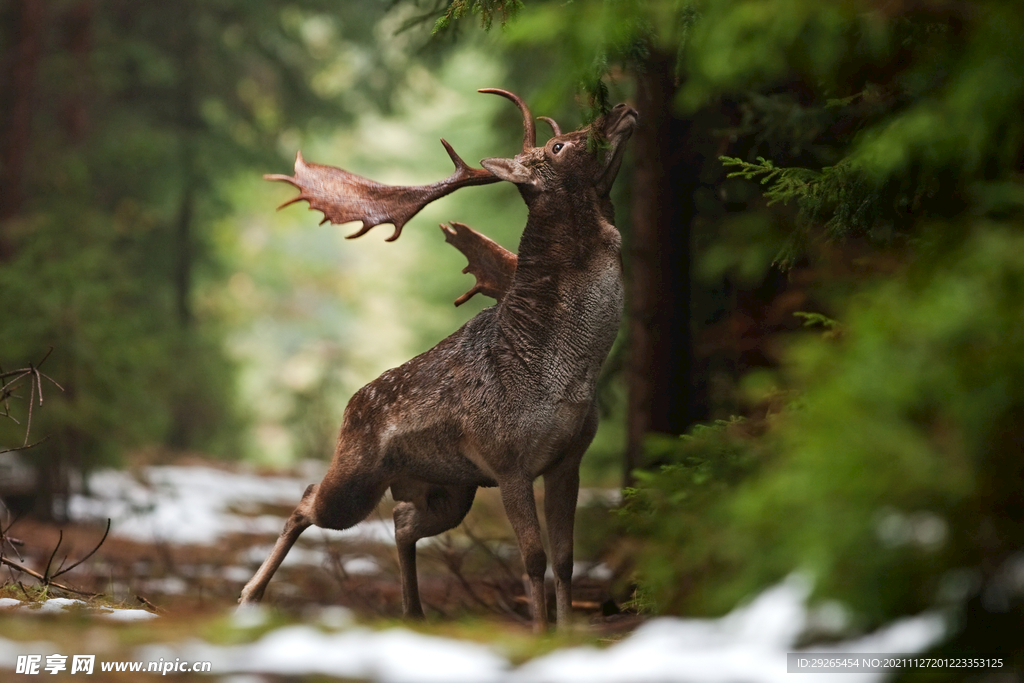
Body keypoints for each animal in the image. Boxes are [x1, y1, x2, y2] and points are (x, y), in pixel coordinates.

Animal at [239, 88, 634, 634]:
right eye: (558, 145)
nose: (621, 109)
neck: (567, 370)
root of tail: (349, 407)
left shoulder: (567, 460)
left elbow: (567, 558)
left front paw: (568, 632)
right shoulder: (507, 459)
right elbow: (533, 558)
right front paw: (538, 632)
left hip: (449, 489)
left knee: (403, 523)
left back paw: (414, 610)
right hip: (357, 479)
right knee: (307, 500)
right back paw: (248, 596)